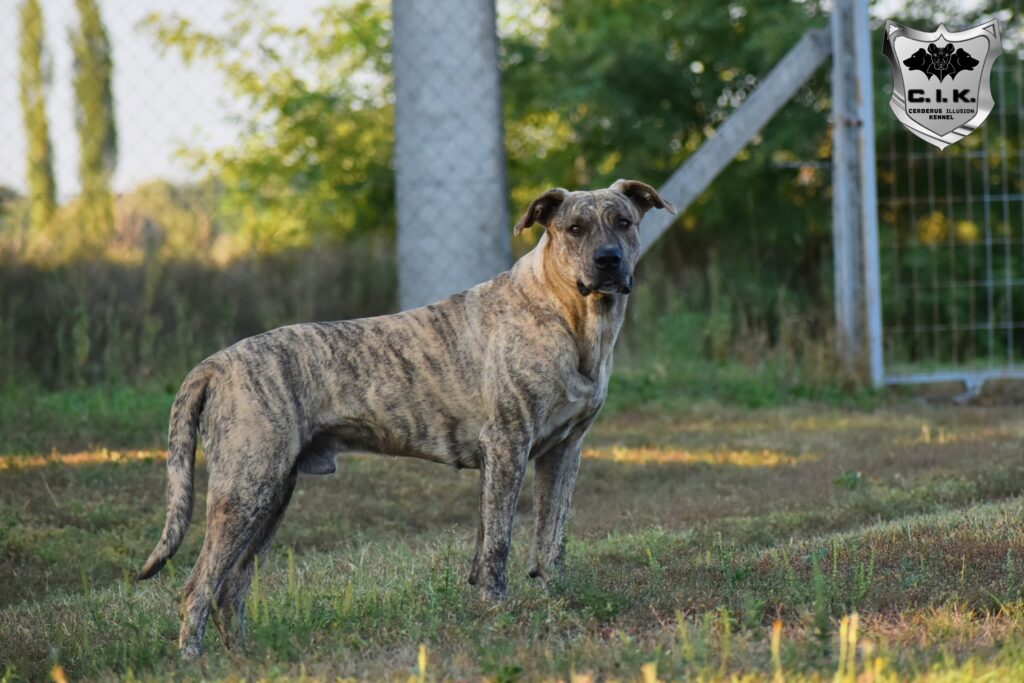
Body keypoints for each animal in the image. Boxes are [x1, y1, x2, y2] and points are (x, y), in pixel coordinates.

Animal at [140, 179, 675, 659]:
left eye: (624, 222)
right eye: (574, 228)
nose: (608, 260)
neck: (571, 316)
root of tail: (215, 363)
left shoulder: (563, 453)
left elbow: (551, 539)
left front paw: (554, 599)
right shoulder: (508, 446)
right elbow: (498, 544)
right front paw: (497, 612)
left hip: (270, 497)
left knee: (232, 587)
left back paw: (244, 657)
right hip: (245, 490)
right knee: (198, 587)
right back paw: (192, 661)